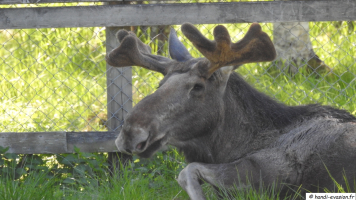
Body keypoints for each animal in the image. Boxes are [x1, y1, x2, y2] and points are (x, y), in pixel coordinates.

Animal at [106, 22, 356, 199]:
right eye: (161, 83)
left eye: (198, 87)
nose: (129, 133)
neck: (230, 147)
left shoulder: (271, 174)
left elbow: (187, 172)